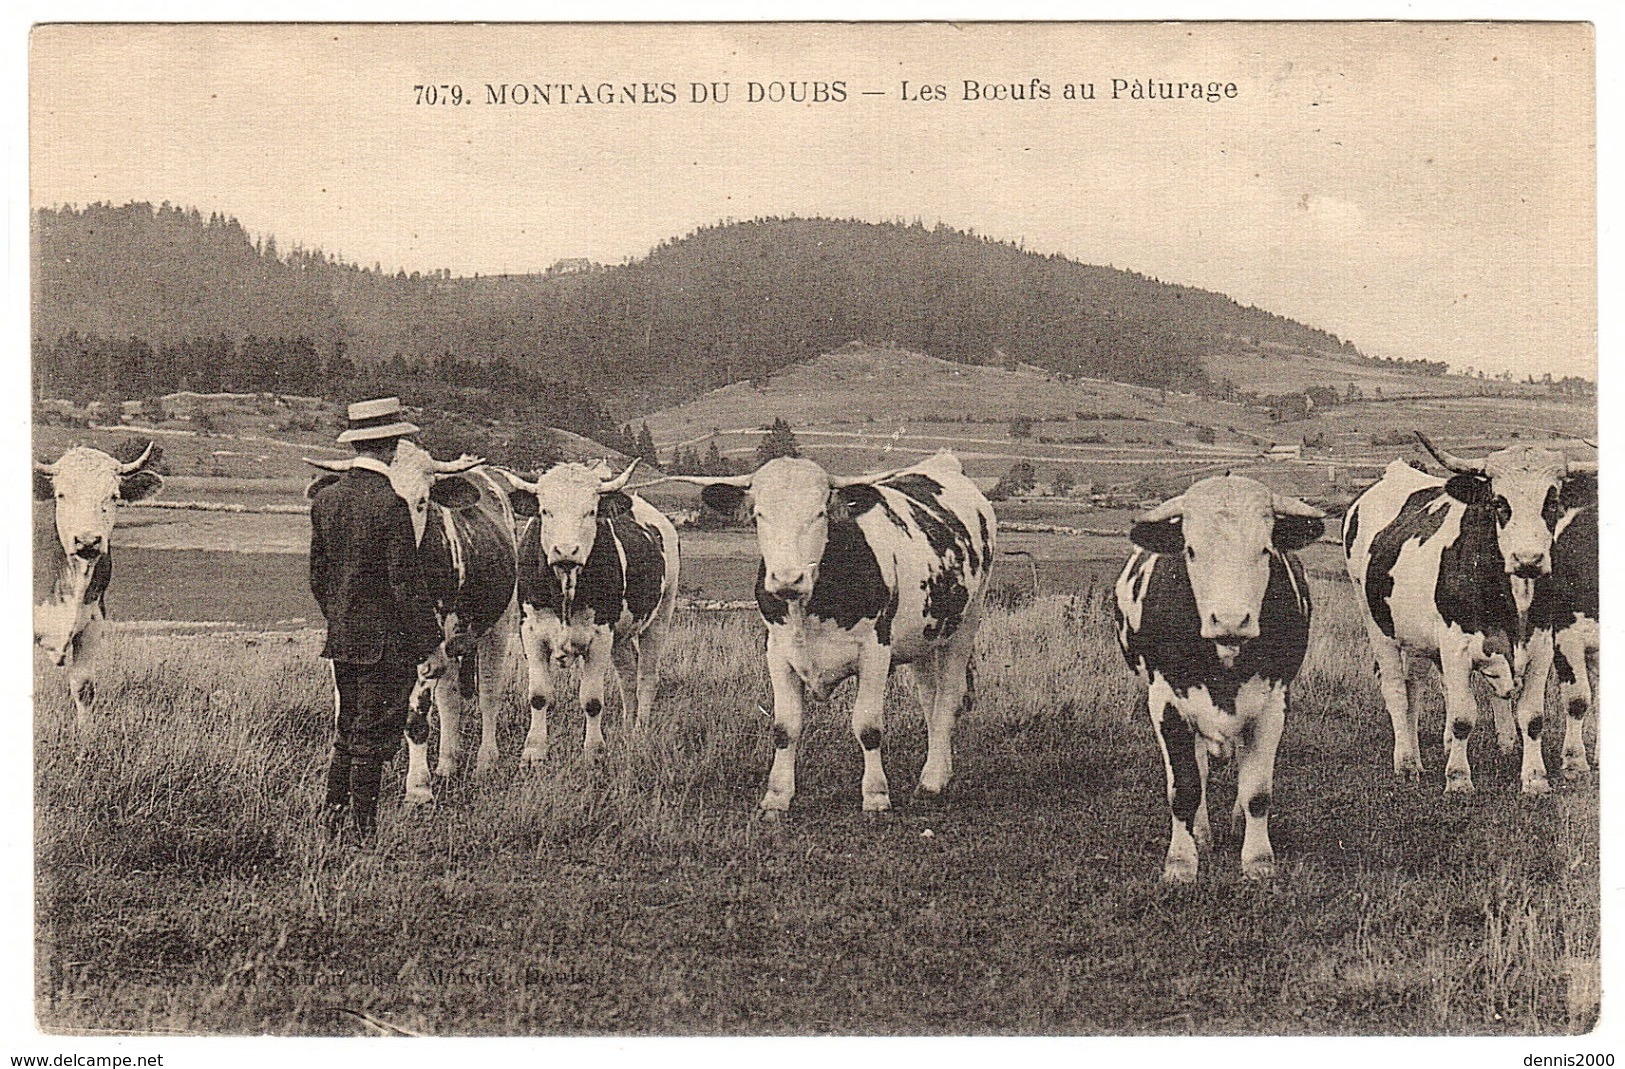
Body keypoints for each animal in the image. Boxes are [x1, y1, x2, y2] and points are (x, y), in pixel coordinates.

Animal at [510, 458, 682, 757]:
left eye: (590, 512)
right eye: (546, 511)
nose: (566, 551)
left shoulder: (600, 635)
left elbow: (592, 700)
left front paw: (594, 751)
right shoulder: (531, 631)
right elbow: (539, 696)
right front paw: (534, 752)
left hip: (661, 616)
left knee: (646, 677)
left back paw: (639, 731)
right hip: (621, 635)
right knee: (628, 675)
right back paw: (627, 727)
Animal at [666, 445, 994, 812]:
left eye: (820, 513)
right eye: (760, 515)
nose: (787, 578)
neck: (808, 608)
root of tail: (942, 465)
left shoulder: (876, 651)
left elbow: (868, 727)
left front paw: (876, 795)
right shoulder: (777, 652)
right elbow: (785, 727)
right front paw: (777, 796)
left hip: (966, 623)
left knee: (948, 699)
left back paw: (933, 780)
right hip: (925, 635)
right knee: (931, 701)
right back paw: (939, 771)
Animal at [1111, 477, 1326, 877]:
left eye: (1265, 550)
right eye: (1191, 551)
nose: (1230, 620)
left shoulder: (1272, 702)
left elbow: (1258, 791)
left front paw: (1258, 858)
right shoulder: (1166, 702)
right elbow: (1184, 787)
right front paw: (1181, 861)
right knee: (1198, 768)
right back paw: (1201, 832)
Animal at [1339, 432, 1592, 789]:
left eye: (1552, 501)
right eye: (1499, 502)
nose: (1528, 559)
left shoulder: (1543, 645)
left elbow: (1532, 717)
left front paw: (1535, 779)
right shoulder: (1456, 645)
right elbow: (1462, 716)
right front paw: (1458, 779)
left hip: (1417, 638)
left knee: (1414, 686)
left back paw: (1419, 755)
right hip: (1376, 625)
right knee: (1396, 690)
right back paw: (1405, 761)